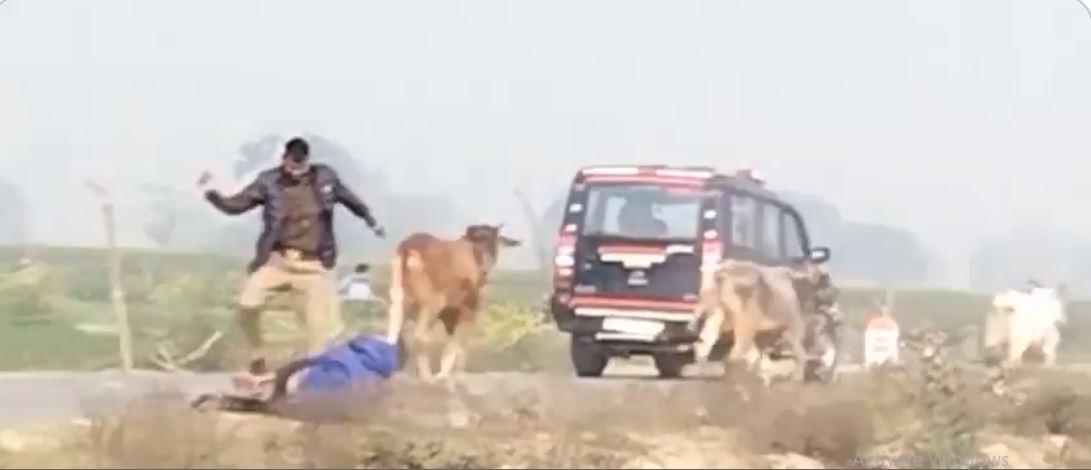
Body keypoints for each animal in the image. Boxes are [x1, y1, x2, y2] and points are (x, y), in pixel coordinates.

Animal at [384, 224, 519, 383]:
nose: (486, 264)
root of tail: (408, 247)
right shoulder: (468, 307)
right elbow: (461, 341)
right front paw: (454, 374)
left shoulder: (450, 313)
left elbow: (452, 340)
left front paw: (444, 373)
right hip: (432, 303)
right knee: (419, 335)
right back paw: (426, 376)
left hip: (399, 296)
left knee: (395, 329)